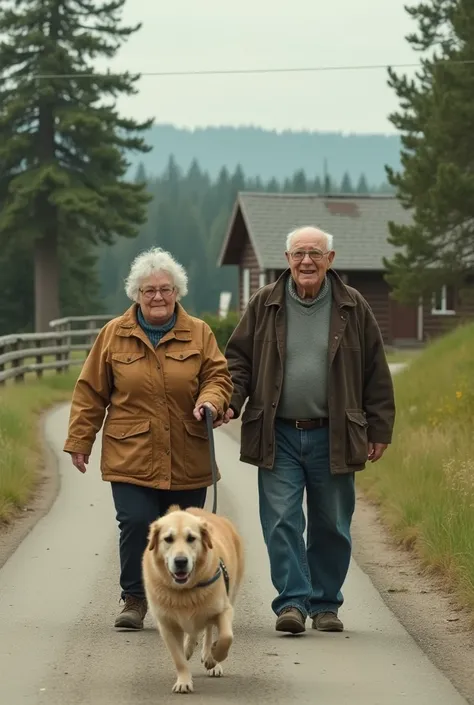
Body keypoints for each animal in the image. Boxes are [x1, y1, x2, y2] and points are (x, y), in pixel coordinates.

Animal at [142, 506, 244, 692]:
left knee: (210, 629)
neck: (185, 591)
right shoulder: (167, 624)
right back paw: (189, 648)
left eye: (191, 538)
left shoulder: (224, 609)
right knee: (196, 631)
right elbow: (178, 659)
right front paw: (183, 681)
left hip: (230, 592)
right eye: (168, 539)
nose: (181, 561)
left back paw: (211, 658)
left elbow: (226, 636)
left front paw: (215, 655)